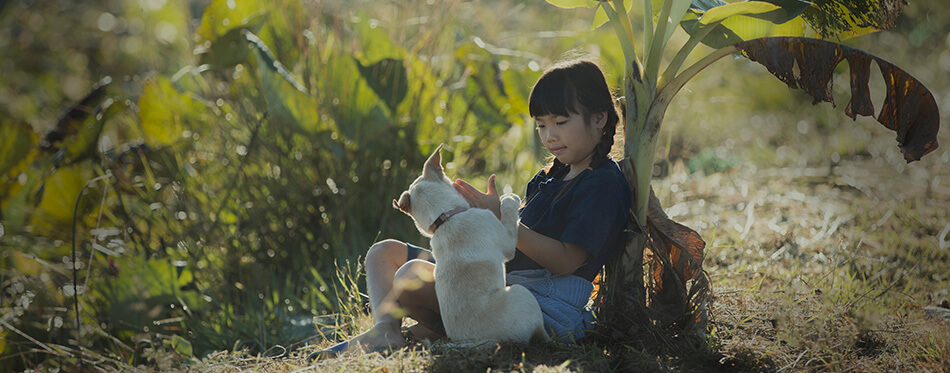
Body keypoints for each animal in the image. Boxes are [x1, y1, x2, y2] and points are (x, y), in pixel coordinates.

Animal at [390, 144, 548, 344]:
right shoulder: (507, 241)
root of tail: (480, 341)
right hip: (522, 293)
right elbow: (509, 213)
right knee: (542, 333)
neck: (446, 217)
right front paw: (509, 198)